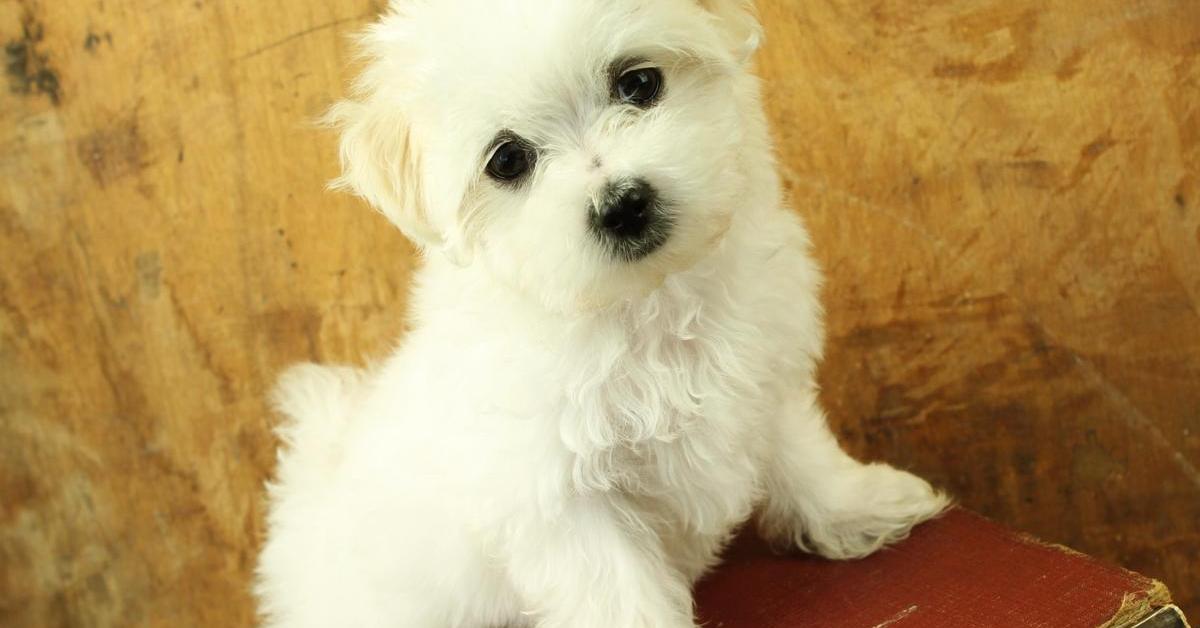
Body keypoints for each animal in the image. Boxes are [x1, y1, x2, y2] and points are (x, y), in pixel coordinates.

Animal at [255, 1, 945, 628]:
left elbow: (802, 455)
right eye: (507, 159)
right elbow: (620, 593)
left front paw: (861, 505)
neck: (646, 303)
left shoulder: (764, 373)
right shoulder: (560, 500)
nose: (622, 205)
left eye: (638, 83)